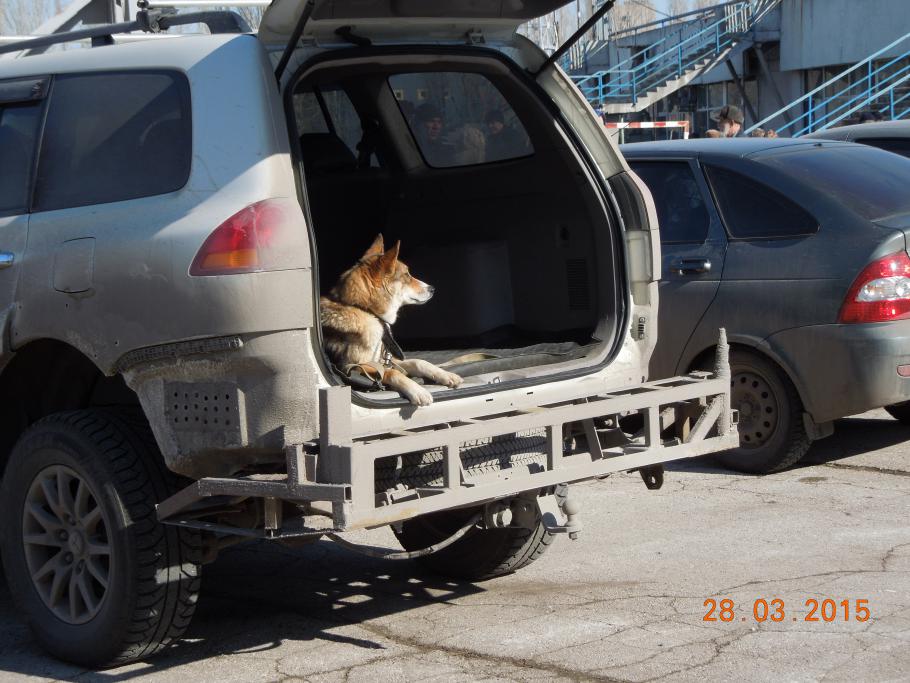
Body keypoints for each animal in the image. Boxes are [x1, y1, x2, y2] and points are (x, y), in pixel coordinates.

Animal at [320, 234, 463, 406]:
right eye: (407, 275)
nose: (433, 289)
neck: (366, 311)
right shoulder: (352, 367)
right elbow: (392, 373)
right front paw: (418, 390)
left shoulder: (386, 360)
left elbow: (419, 362)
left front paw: (445, 375)